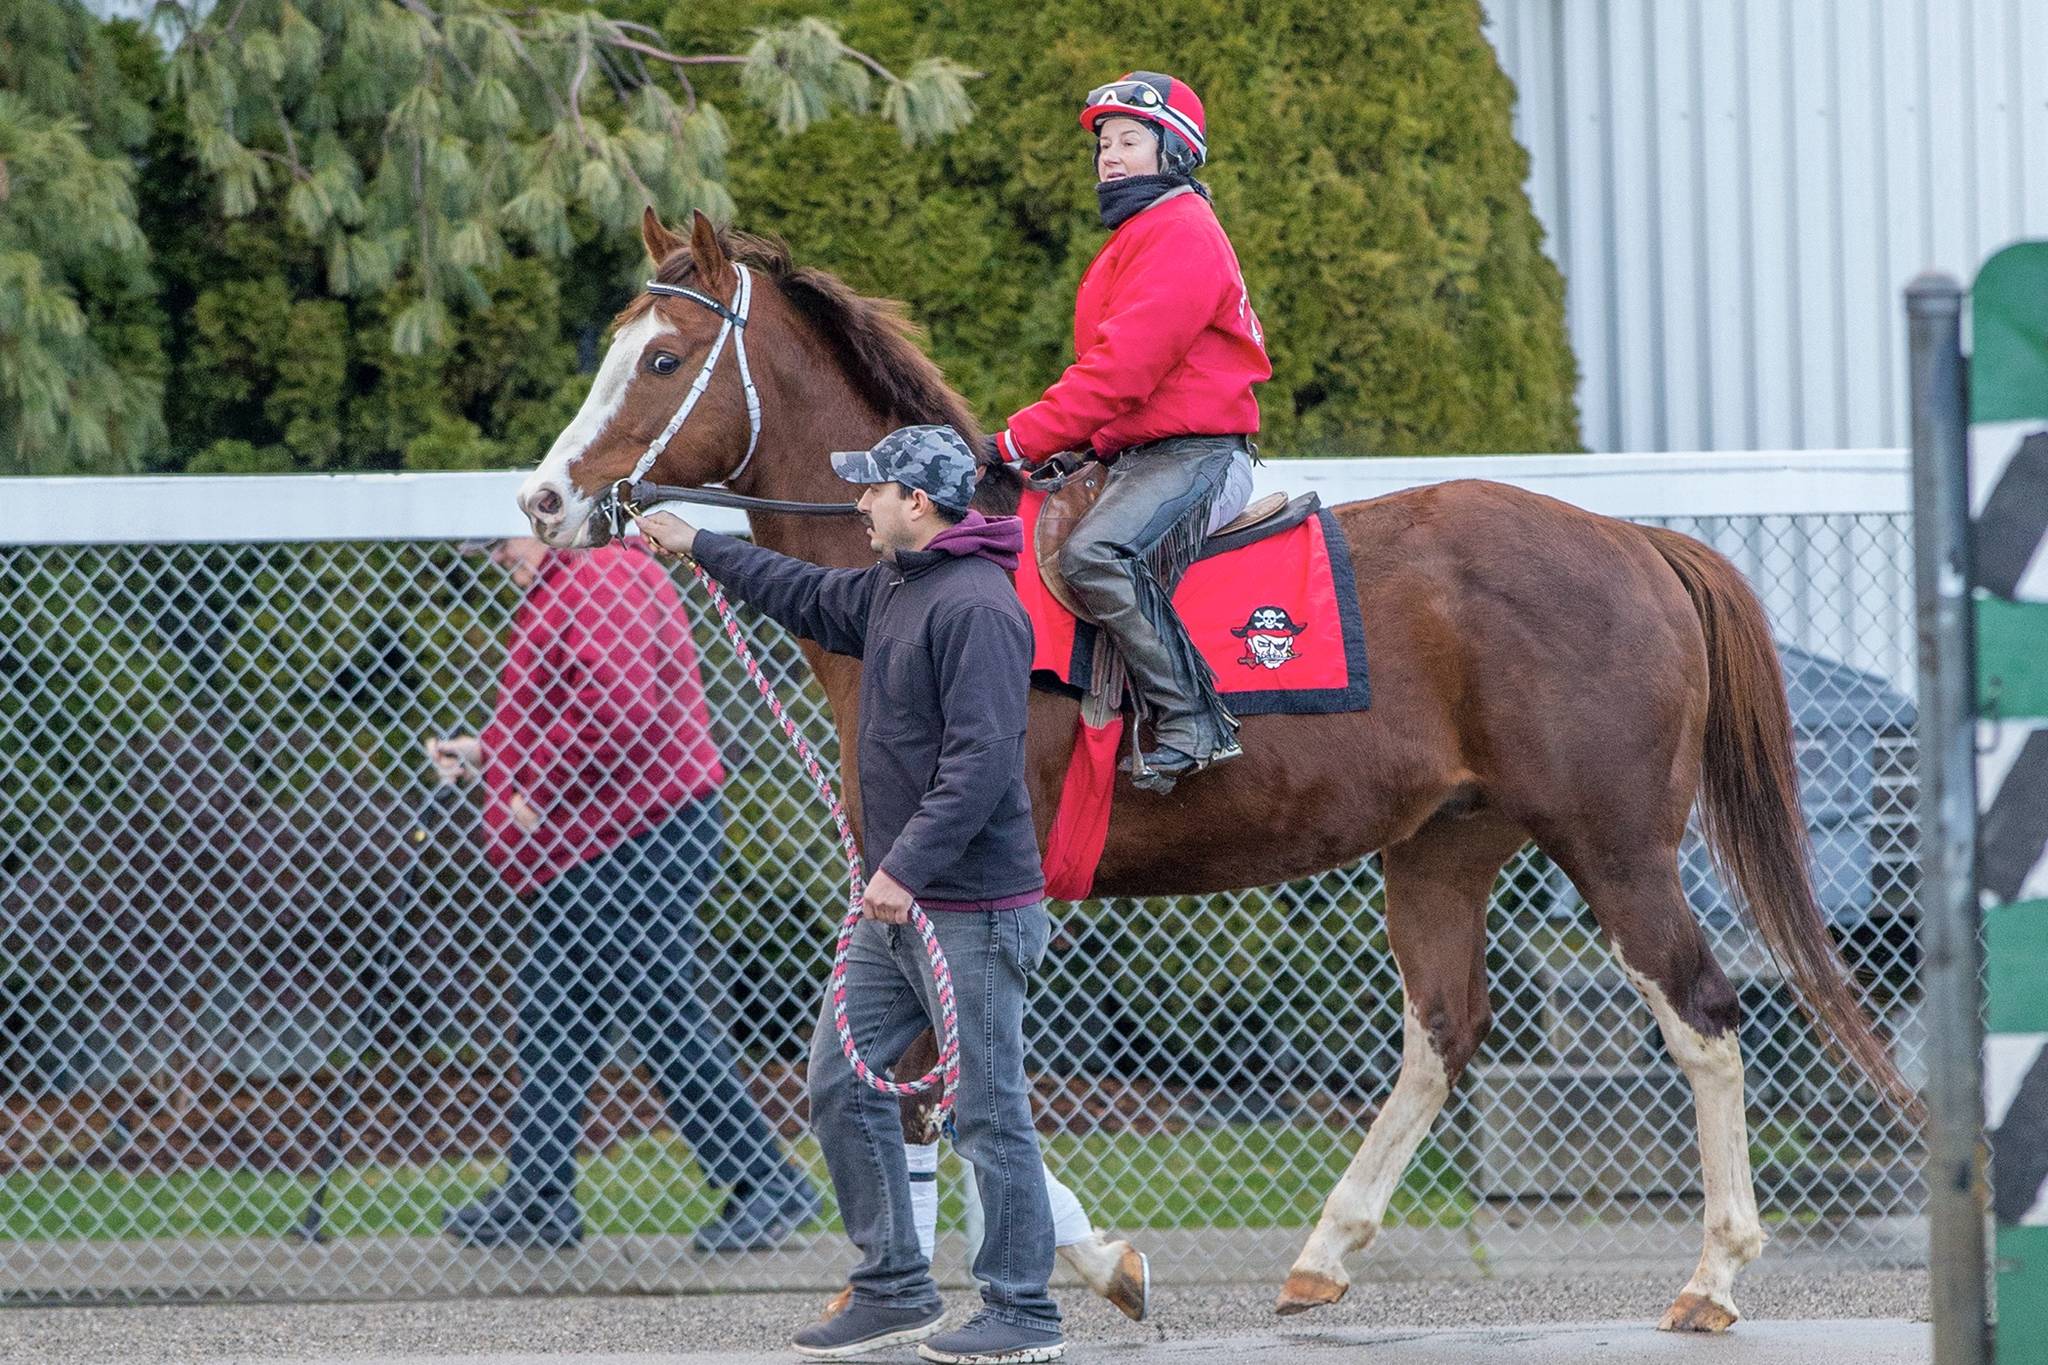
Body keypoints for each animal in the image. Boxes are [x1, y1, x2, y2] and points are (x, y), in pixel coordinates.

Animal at [516, 208, 1916, 1326]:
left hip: (1616, 849)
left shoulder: (955, 879)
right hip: (1441, 850)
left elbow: (953, 1090)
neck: (930, 569)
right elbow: (922, 1085)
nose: (544, 501)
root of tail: (1633, 542)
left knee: (1703, 1018)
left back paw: (1713, 1274)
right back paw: (1323, 1253)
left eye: (661, 359)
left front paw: (1085, 1269)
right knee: (1441, 1033)